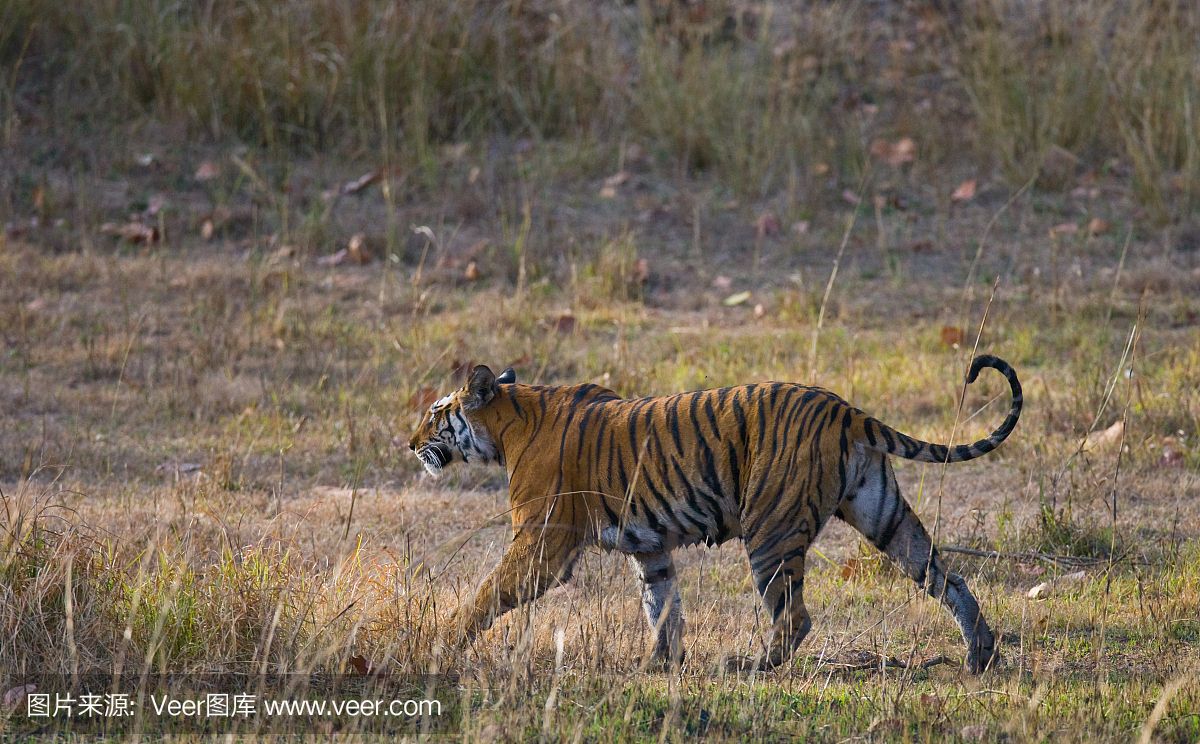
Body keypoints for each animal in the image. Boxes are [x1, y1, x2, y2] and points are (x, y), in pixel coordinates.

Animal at [410, 355, 1022, 672]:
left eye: (435, 414)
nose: (409, 442)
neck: (510, 422)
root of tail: (844, 408)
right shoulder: (649, 546)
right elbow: (662, 606)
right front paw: (660, 666)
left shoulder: (543, 542)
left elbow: (487, 593)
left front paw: (440, 644)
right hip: (883, 513)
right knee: (947, 576)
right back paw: (981, 652)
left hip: (770, 529)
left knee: (794, 616)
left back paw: (751, 667)